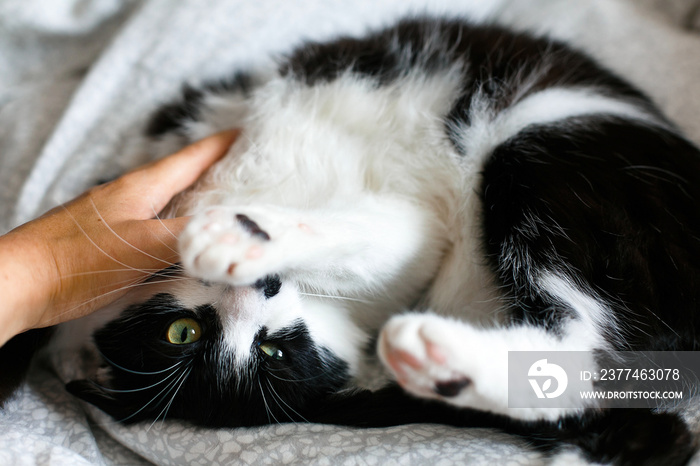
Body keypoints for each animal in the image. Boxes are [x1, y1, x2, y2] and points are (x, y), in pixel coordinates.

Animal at [53, 16, 700, 464]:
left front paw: (237, 234)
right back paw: (438, 358)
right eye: (182, 334)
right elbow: (384, 235)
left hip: (543, 146)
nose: (261, 288)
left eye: (273, 350)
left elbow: (377, 234)